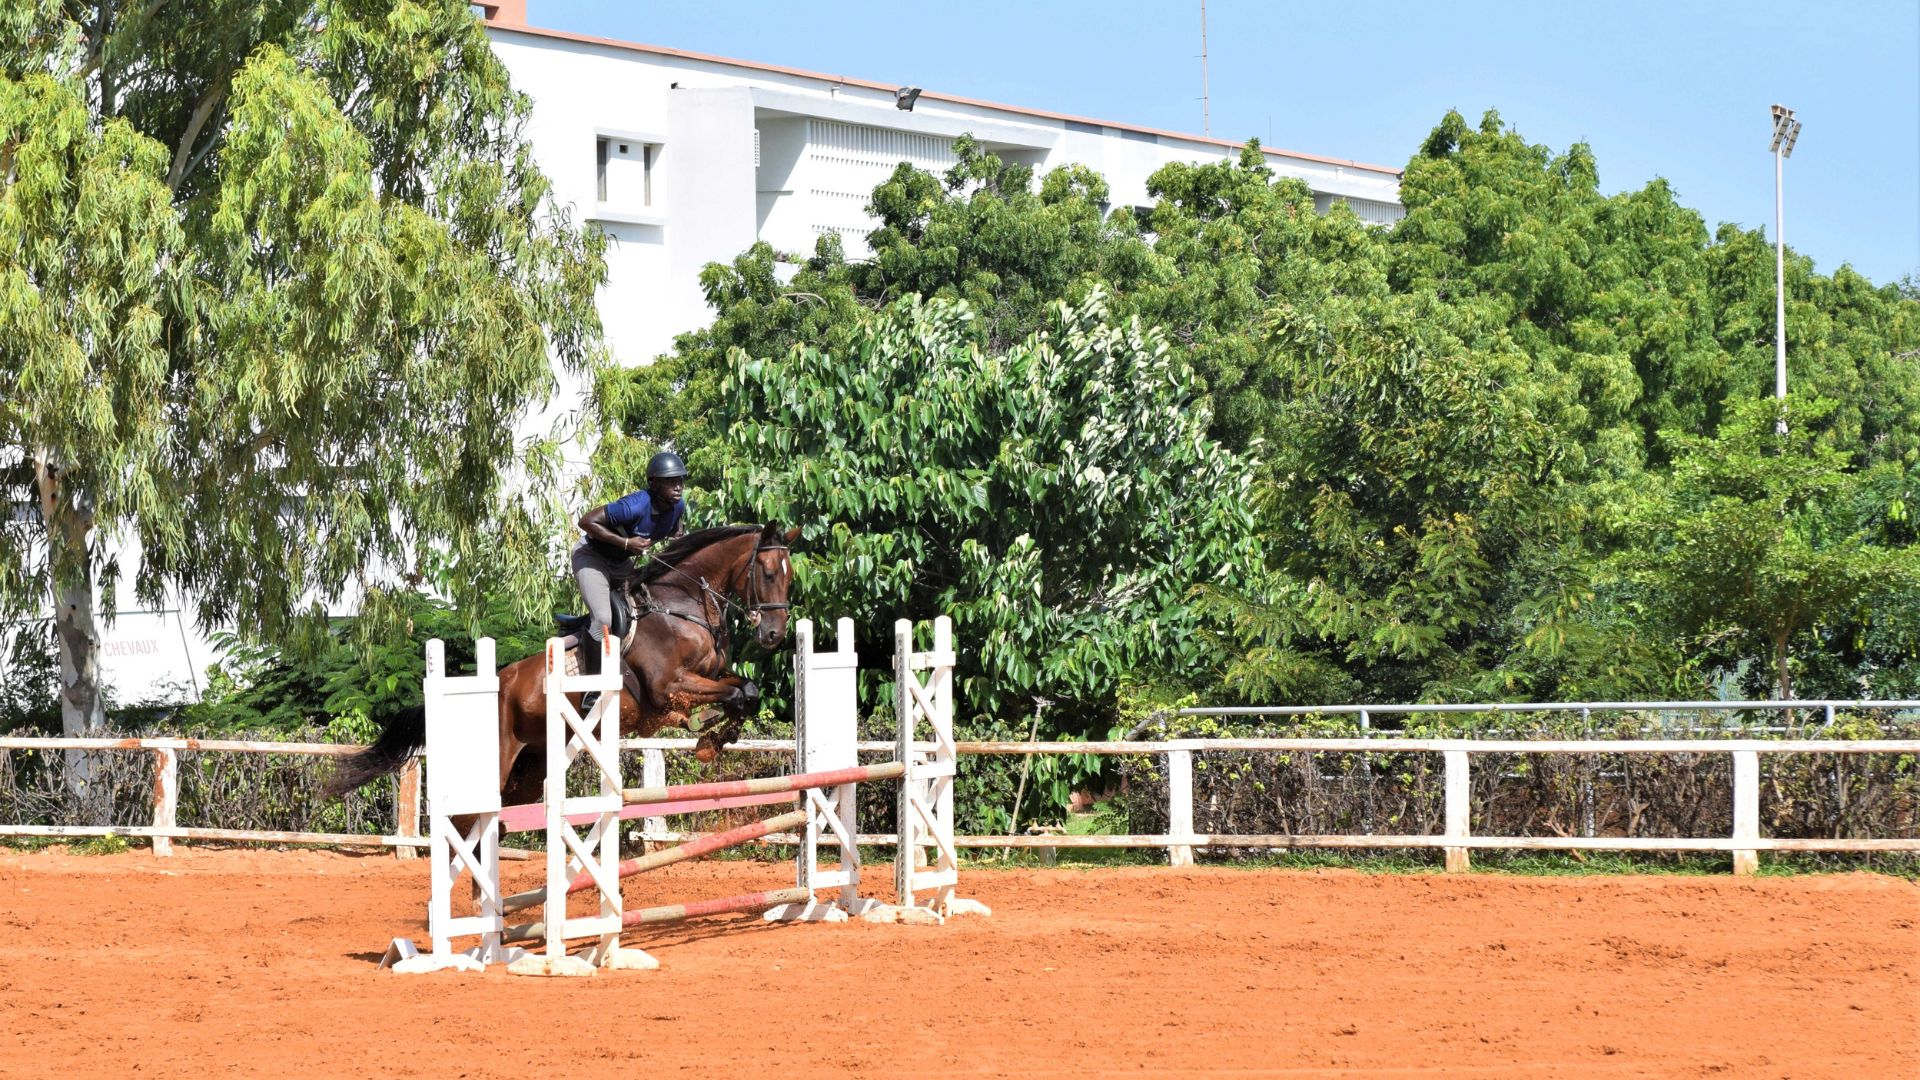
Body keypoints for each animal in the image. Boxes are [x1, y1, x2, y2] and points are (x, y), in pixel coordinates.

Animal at [334, 522, 798, 807]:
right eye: (768, 572)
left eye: (790, 575)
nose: (774, 635)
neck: (682, 606)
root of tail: (496, 683)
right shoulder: (668, 687)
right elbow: (730, 695)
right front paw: (704, 734)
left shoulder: (712, 673)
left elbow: (746, 692)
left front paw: (712, 739)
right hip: (499, 761)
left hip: (529, 767)